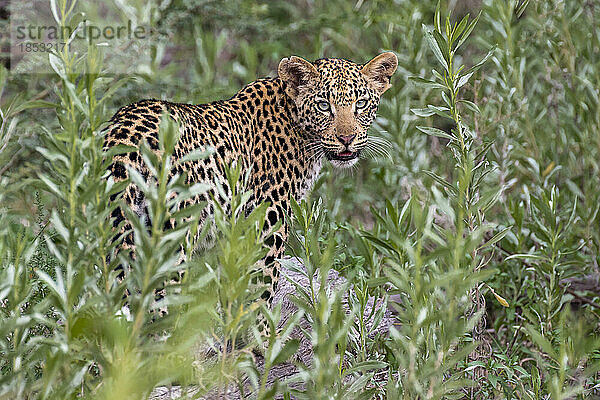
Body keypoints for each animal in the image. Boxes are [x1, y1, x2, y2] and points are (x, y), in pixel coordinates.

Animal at [103, 52, 398, 322]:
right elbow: (260, 291)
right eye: (324, 106)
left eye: (361, 104)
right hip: (171, 241)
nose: (347, 138)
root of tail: (127, 136)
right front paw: (262, 337)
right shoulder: (267, 225)